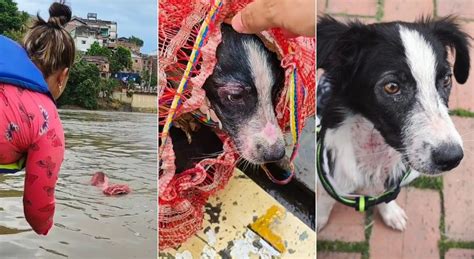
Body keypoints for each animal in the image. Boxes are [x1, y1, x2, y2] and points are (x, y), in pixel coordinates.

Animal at [318, 15, 470, 232]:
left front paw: (391, 213)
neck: (375, 154)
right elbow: (325, 196)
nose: (452, 158)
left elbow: (386, 196)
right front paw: (320, 219)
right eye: (391, 87)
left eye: (447, 79)